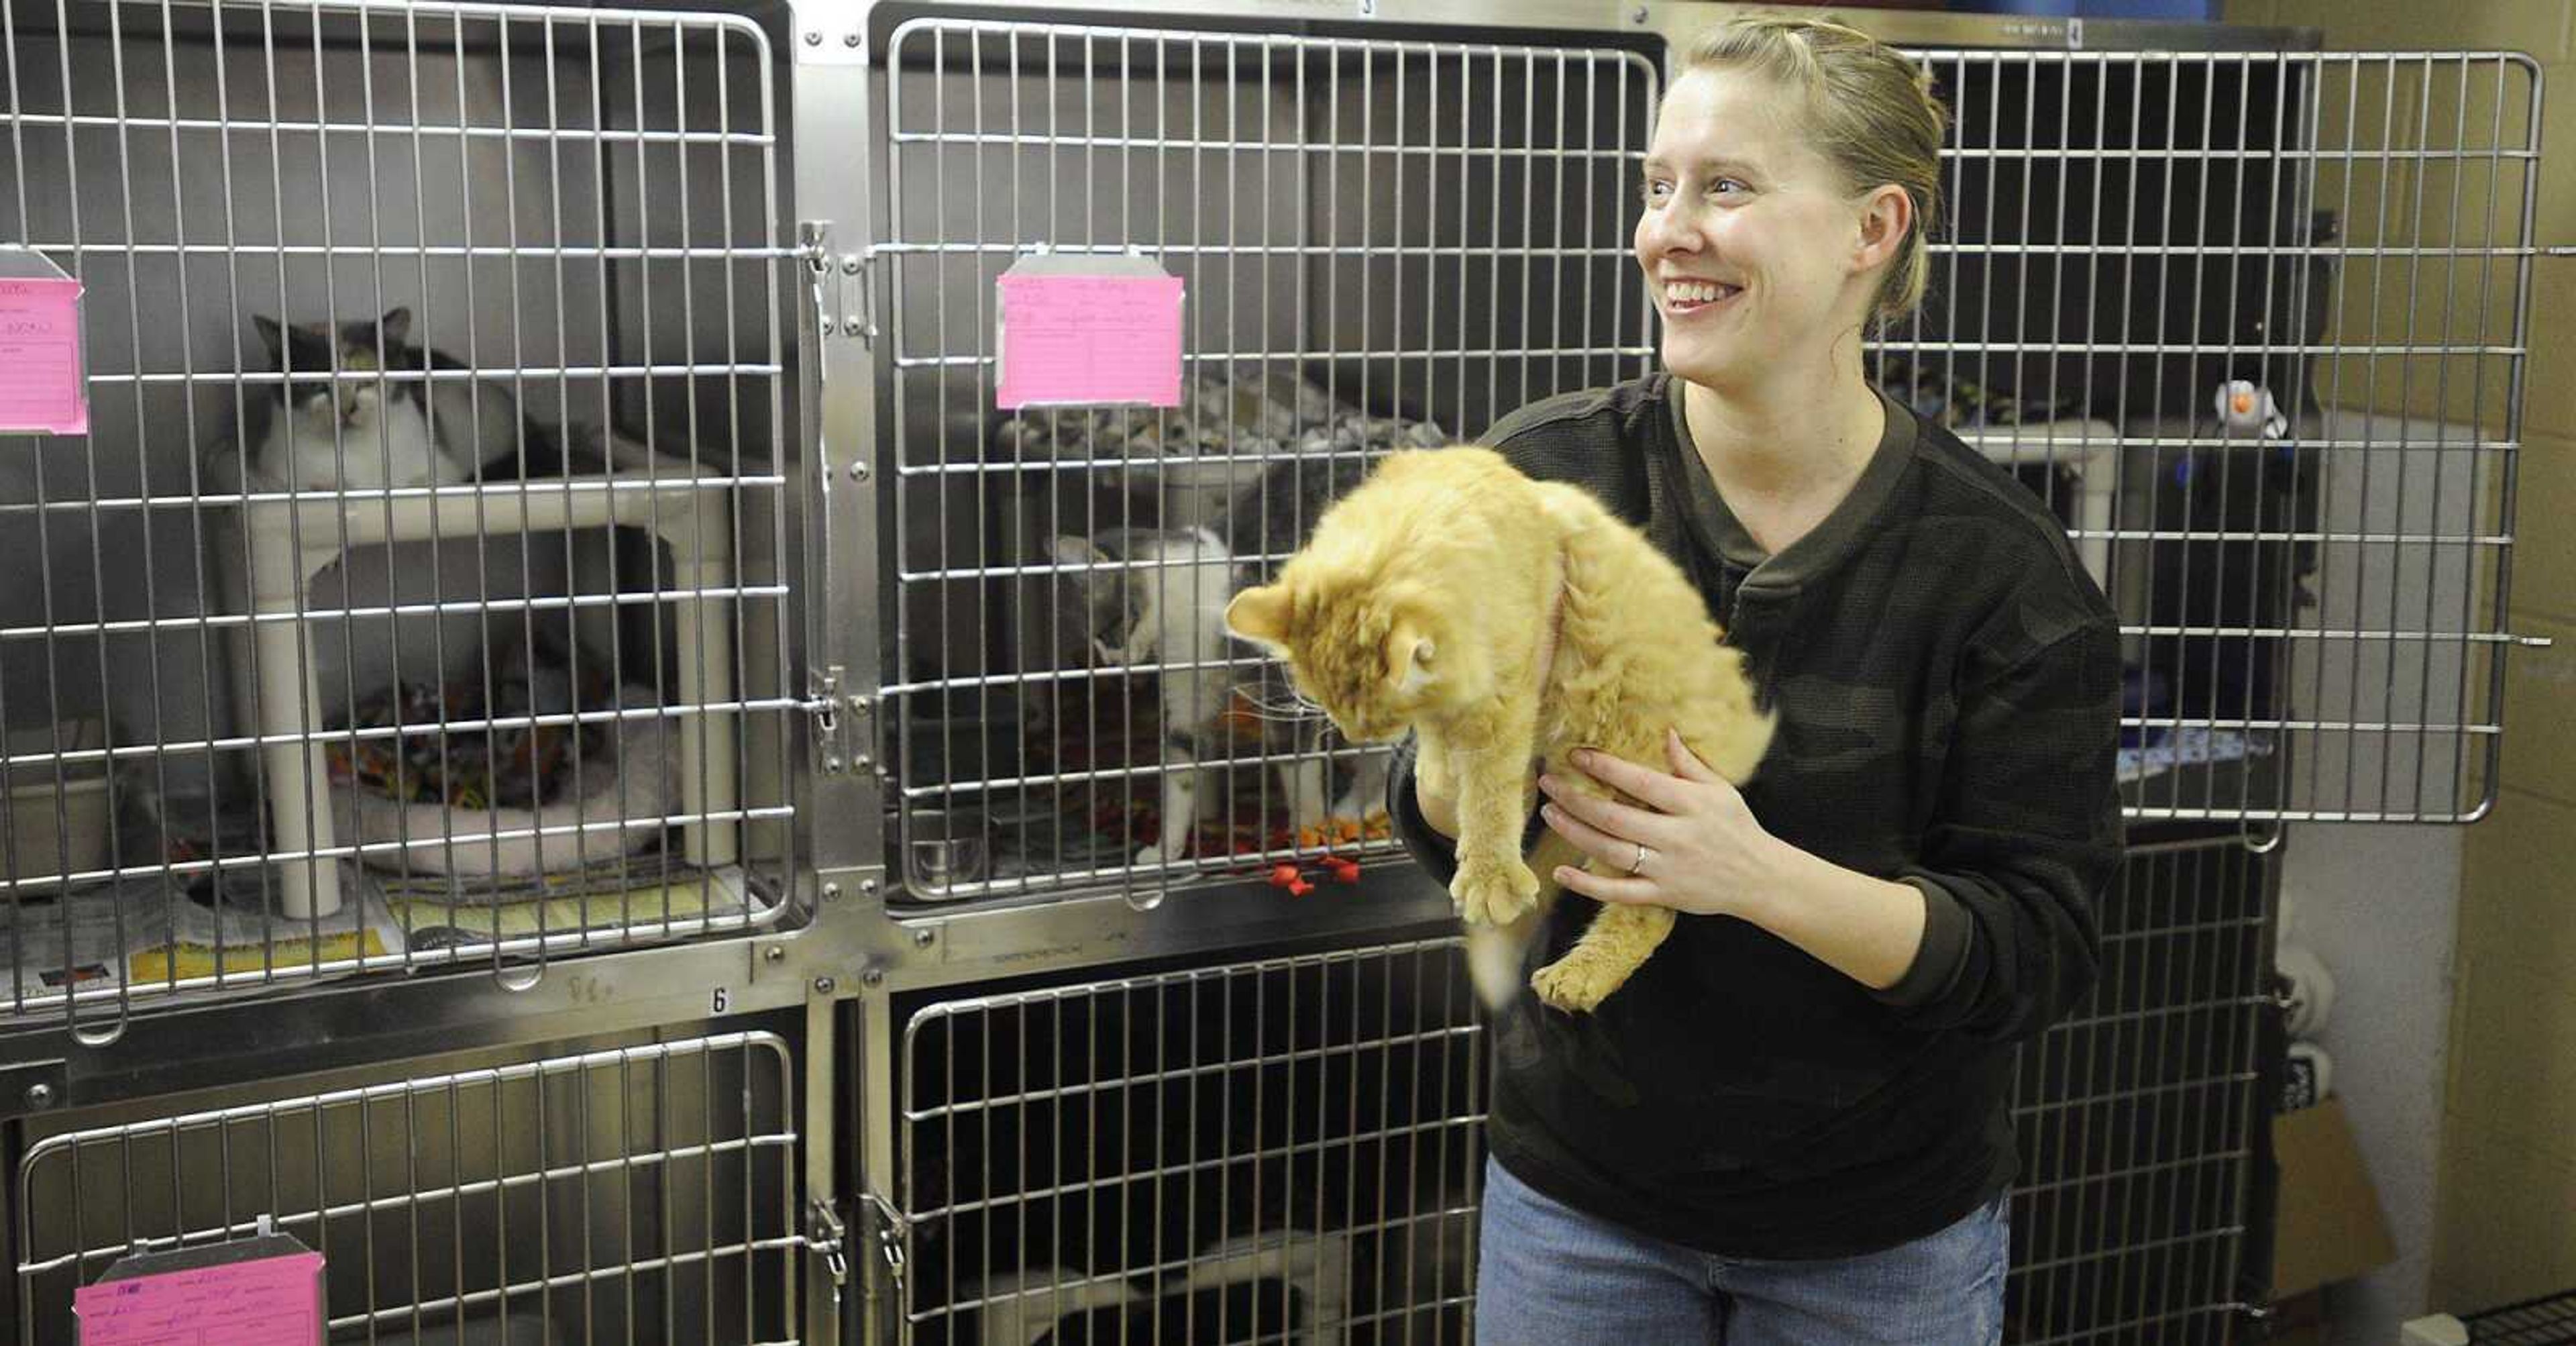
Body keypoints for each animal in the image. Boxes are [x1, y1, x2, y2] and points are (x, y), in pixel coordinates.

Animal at [1226, 448, 1772, 1005]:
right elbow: (1446, 756)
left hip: (1614, 797)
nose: (1359, 738)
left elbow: (1489, 798)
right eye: (1329, 705)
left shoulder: (1504, 701)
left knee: (1649, 913)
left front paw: (1490, 881)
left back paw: (1574, 979)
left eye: (1379, 717)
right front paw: (1440, 773)